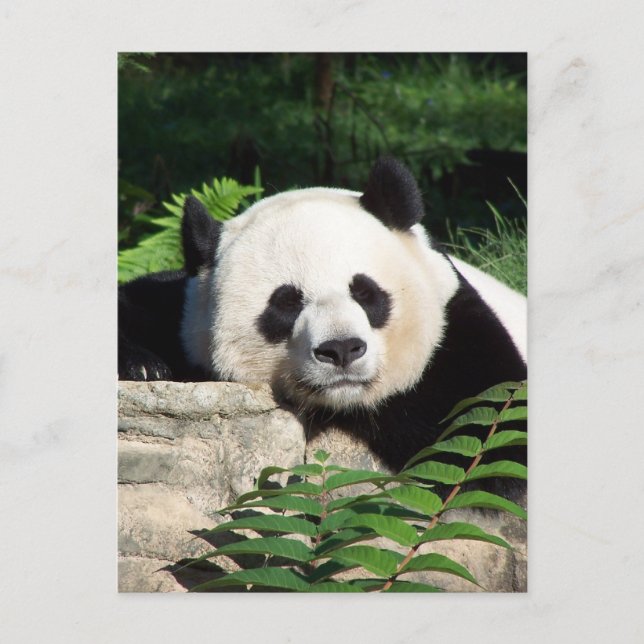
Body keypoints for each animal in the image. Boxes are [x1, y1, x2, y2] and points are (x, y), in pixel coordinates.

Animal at [119, 157, 526, 477]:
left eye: (365, 292)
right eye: (286, 303)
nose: (342, 349)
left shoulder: (458, 336)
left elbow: (488, 431)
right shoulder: (182, 313)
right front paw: (144, 366)